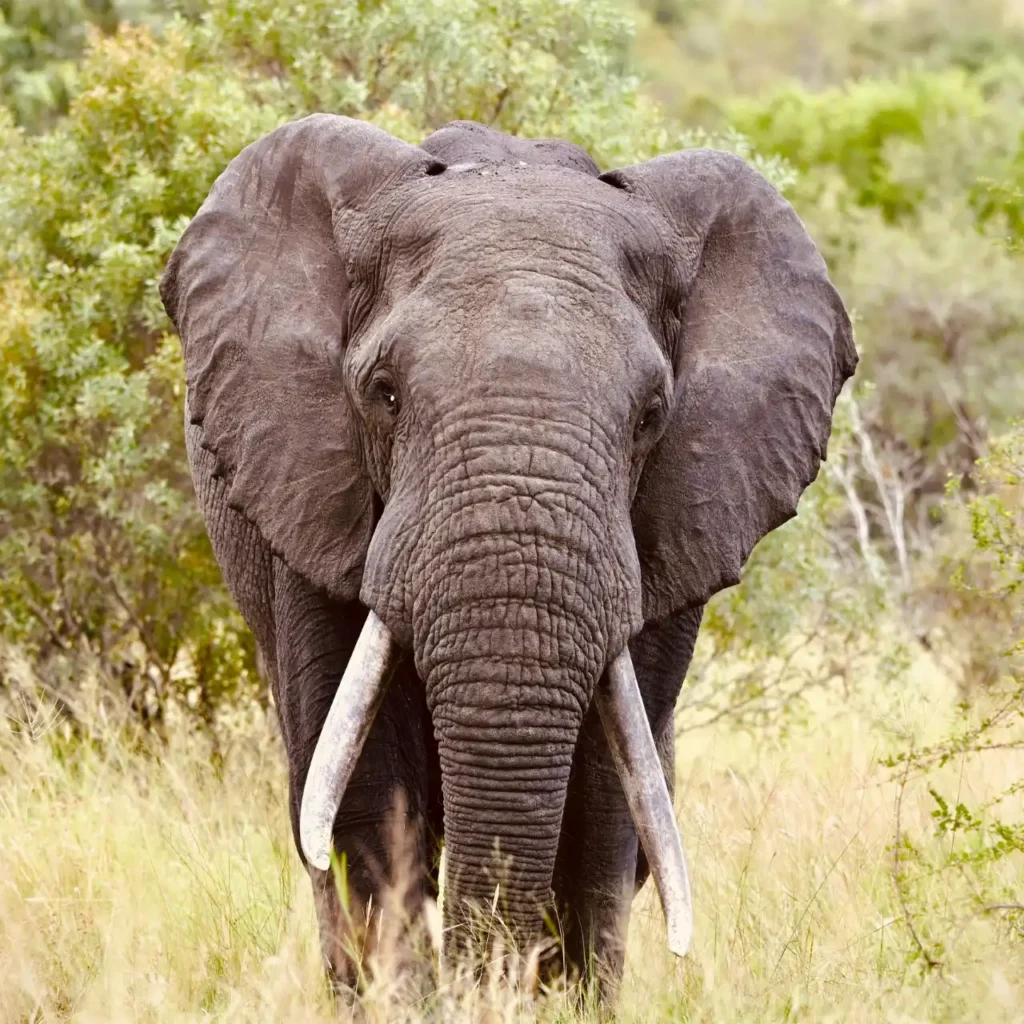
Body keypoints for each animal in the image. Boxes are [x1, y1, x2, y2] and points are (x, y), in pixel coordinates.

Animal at [159, 114, 856, 993]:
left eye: (652, 415)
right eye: (384, 393)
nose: (490, 982)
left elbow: (604, 809)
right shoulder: (309, 495)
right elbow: (363, 799)